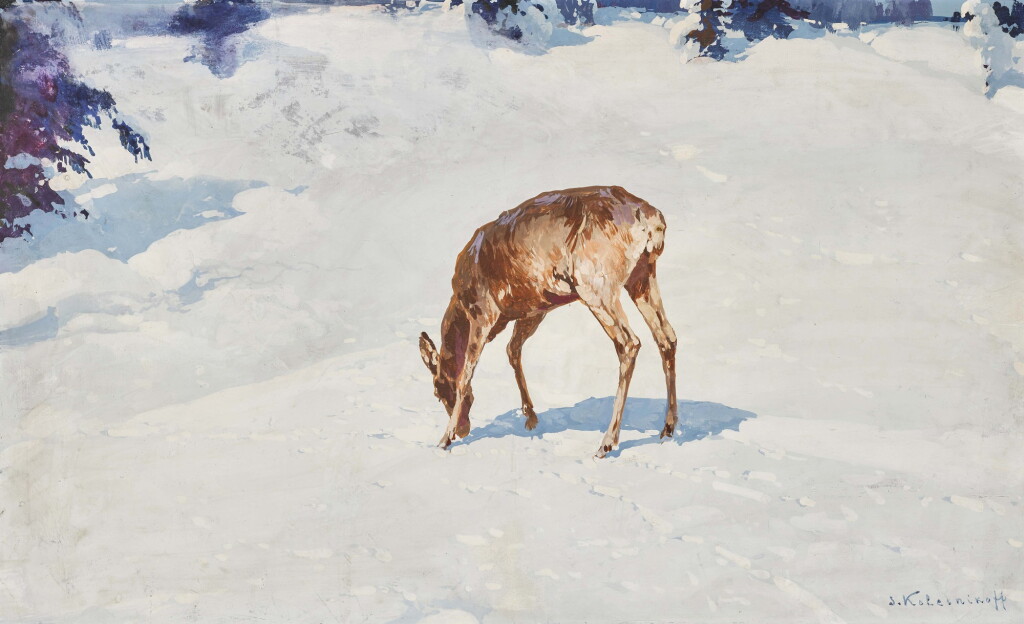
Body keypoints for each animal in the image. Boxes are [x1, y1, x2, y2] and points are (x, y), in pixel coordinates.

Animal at [418, 186, 678, 458]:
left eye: (437, 390)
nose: (463, 430)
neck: (460, 299)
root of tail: (651, 218)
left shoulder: (483, 313)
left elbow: (465, 375)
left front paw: (443, 439)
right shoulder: (534, 311)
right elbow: (512, 350)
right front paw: (531, 417)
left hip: (596, 287)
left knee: (629, 342)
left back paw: (606, 443)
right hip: (642, 276)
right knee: (666, 336)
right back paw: (668, 427)